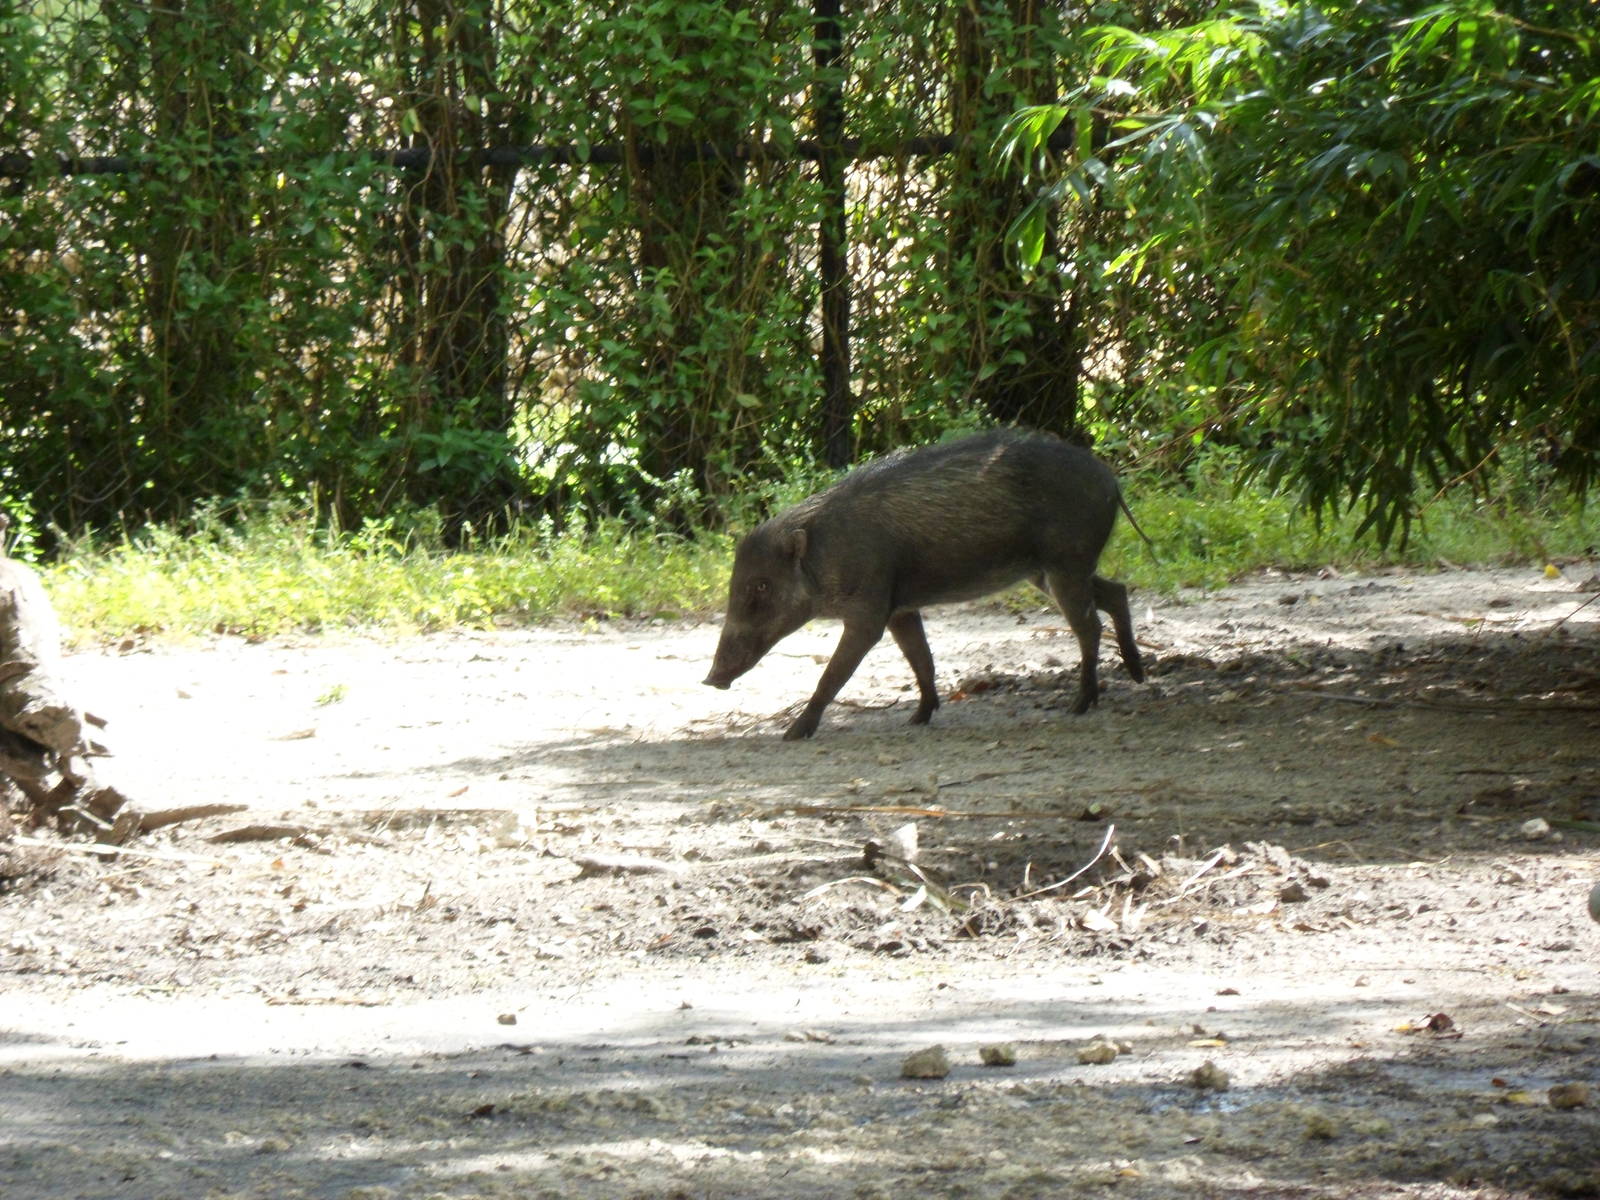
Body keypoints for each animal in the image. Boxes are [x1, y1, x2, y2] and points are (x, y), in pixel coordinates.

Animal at [703, 429, 1147, 739]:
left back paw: (1079, 704)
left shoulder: (869, 612)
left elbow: (833, 674)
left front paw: (792, 734)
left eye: (761, 586)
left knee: (1090, 626)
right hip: (1048, 572)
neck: (824, 552)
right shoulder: (900, 608)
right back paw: (1137, 674)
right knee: (1116, 592)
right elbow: (921, 658)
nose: (711, 679)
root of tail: (1111, 480)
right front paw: (918, 718)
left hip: (1065, 564)